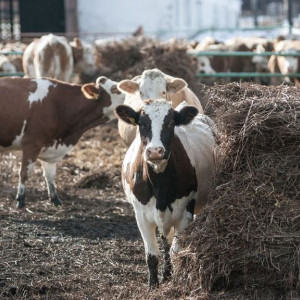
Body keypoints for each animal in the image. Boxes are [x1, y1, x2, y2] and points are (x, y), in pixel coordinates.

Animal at [0, 75, 124, 209]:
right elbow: (25, 173)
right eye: (114, 89)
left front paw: (55, 199)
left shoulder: (49, 147)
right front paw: (20, 199)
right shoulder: (32, 143)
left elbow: (50, 175)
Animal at [115, 99, 218, 288]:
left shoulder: (186, 212)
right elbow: (152, 256)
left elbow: (175, 251)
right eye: (142, 123)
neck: (160, 185)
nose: (155, 151)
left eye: (170, 123)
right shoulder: (141, 216)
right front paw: (153, 285)